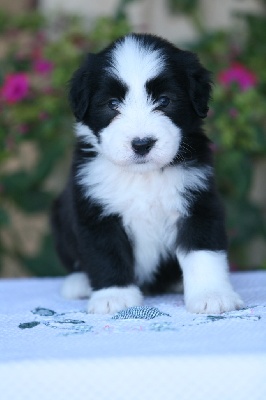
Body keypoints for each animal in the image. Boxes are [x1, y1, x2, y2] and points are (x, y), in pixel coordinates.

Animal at [51, 32, 244, 314]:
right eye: (112, 104)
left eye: (164, 100)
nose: (141, 144)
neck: (142, 177)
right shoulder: (96, 209)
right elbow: (106, 253)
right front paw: (114, 296)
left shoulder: (197, 201)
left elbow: (203, 251)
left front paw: (212, 295)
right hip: (59, 216)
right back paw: (79, 283)